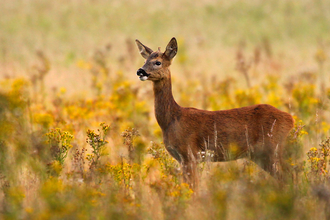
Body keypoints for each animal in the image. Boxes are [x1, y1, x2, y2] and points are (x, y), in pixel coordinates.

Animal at [135, 37, 296, 187]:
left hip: (273, 148)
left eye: (157, 62)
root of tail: (290, 118)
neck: (172, 119)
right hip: (261, 155)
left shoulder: (190, 154)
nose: (140, 71)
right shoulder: (183, 159)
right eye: (145, 60)